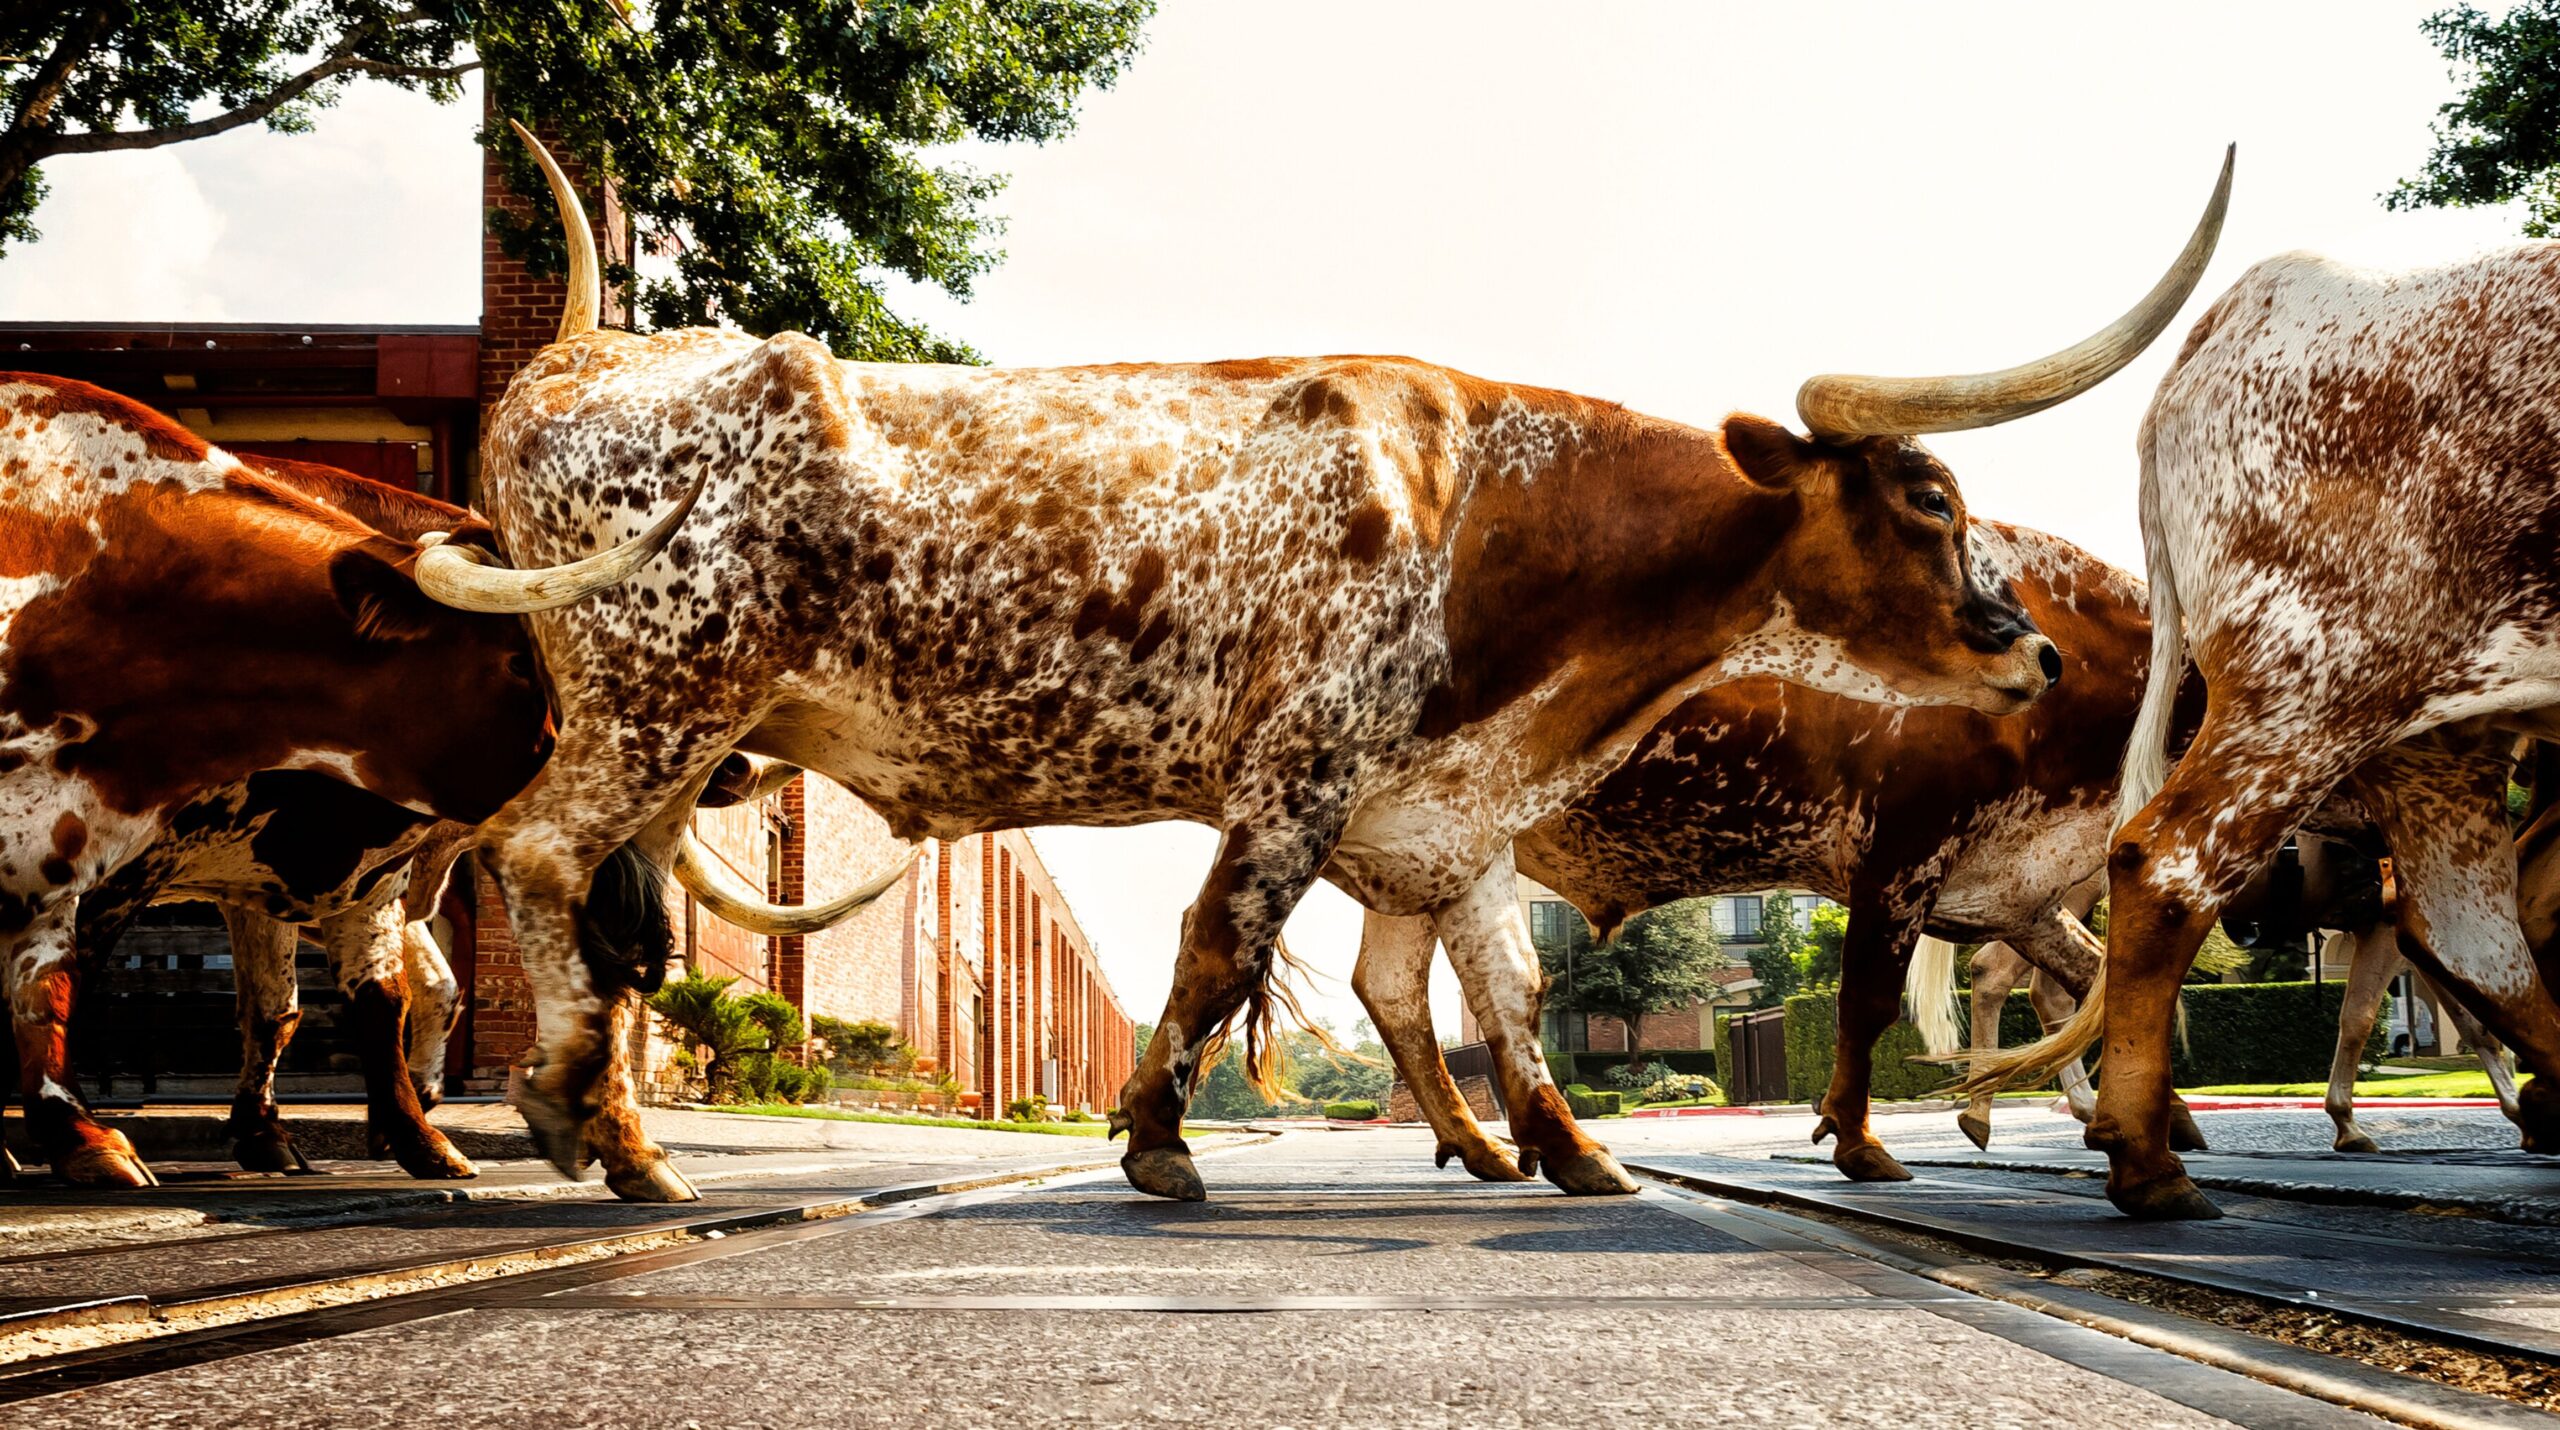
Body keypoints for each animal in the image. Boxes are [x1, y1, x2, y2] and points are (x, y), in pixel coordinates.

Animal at [0, 376, 691, 1192]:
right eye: (524, 662)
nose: (648, 944)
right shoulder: (112, 866)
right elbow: (58, 987)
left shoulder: (301, 875)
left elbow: (343, 1002)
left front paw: (400, 1134)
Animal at [471, 122, 2232, 1202]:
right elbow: (1218, 941)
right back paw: (564, 1107)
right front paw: (1156, 1140)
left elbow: (1502, 991)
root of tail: (577, 361)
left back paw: (626, 1142)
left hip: (684, 738)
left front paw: (1571, 1146)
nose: (2029, 650)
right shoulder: (1298, 766)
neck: (1479, 510)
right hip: (654, 699)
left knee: (607, 907)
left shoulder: (1443, 810)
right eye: (1929, 499)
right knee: (533, 853)